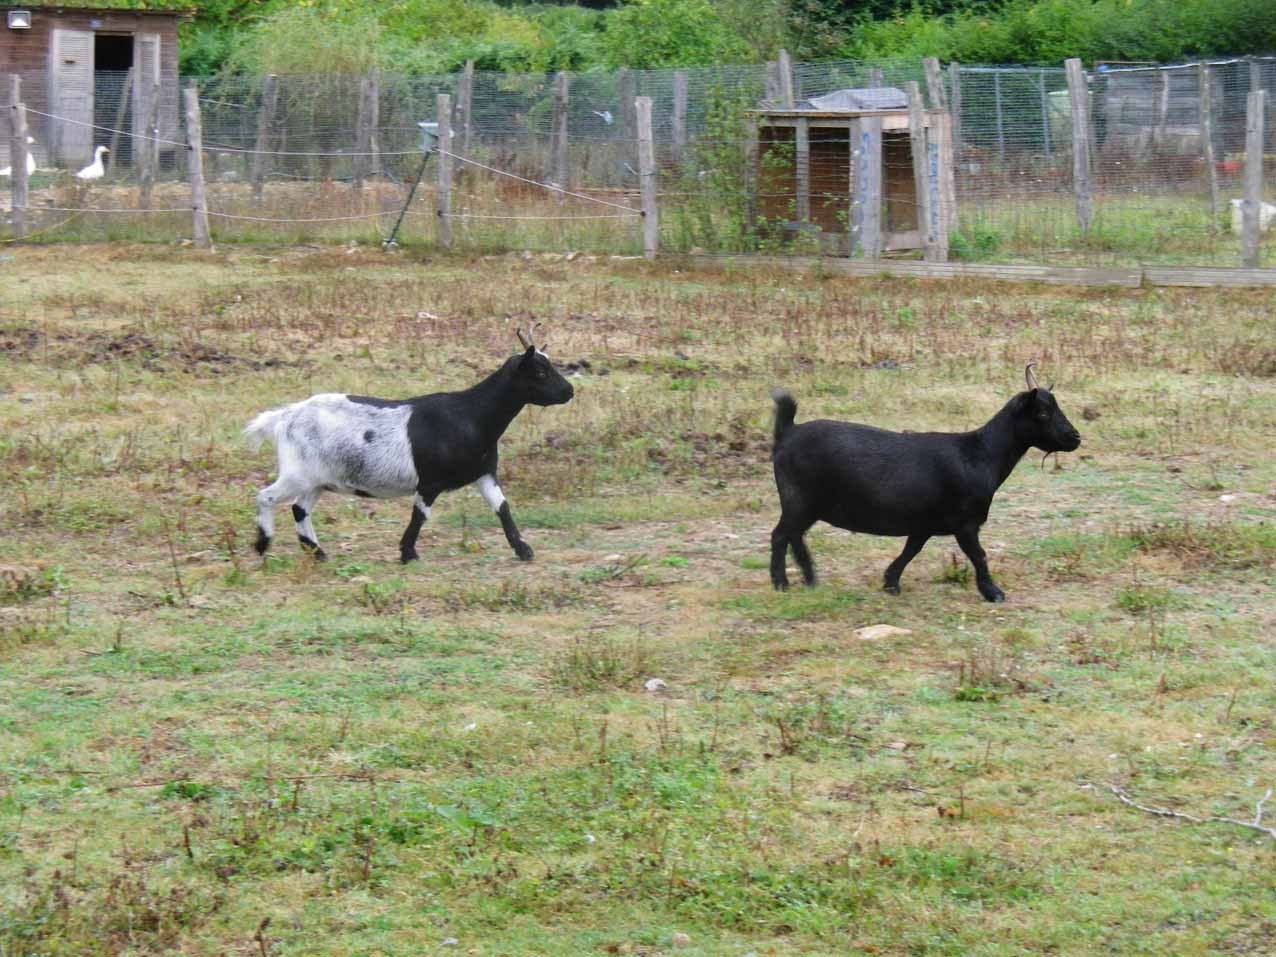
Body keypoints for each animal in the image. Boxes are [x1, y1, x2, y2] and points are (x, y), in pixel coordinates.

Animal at [243, 326, 574, 566]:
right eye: (540, 372)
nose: (569, 391)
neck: (471, 415)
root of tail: (284, 417)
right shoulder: (431, 482)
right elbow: (420, 515)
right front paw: (409, 554)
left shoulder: (484, 473)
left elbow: (503, 508)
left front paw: (524, 550)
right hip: (297, 473)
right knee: (266, 497)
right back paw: (263, 544)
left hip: (318, 479)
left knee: (299, 509)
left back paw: (318, 553)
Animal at [770, 362, 1082, 602]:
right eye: (1043, 413)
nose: (1076, 437)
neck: (980, 453)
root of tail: (788, 431)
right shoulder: (965, 522)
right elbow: (978, 555)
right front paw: (993, 592)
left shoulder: (924, 523)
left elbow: (911, 550)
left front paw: (891, 582)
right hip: (798, 499)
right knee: (781, 535)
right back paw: (781, 583)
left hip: (807, 505)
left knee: (794, 536)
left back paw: (810, 579)